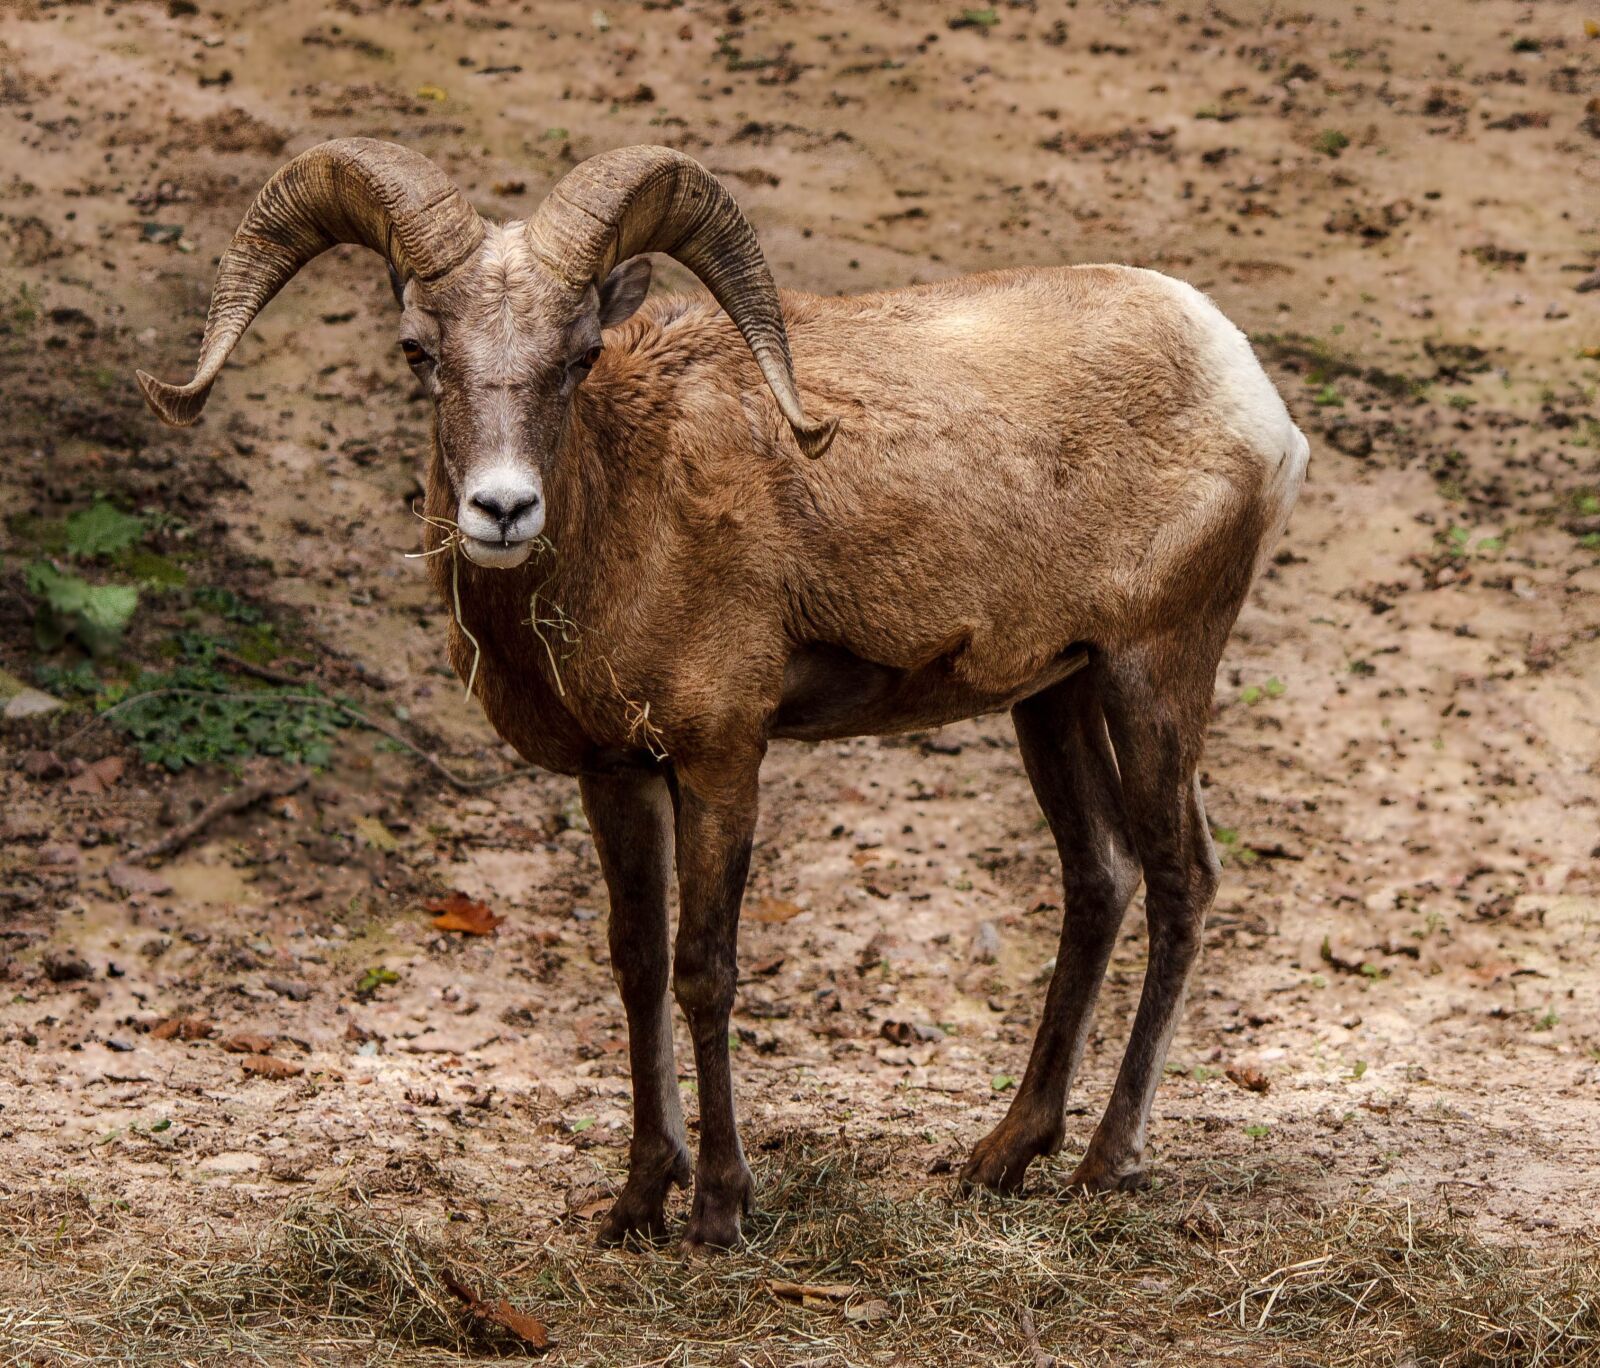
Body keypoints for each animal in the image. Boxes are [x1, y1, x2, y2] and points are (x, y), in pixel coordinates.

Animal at [137, 138, 1310, 1250]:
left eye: (579, 355)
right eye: (420, 353)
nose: (503, 510)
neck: (634, 514)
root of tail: (1248, 390)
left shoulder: (721, 762)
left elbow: (704, 969)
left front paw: (717, 1212)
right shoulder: (614, 773)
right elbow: (635, 964)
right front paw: (633, 1205)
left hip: (1153, 676)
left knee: (1182, 881)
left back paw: (1109, 1165)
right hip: (1052, 698)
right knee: (1099, 879)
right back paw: (1002, 1157)